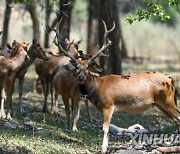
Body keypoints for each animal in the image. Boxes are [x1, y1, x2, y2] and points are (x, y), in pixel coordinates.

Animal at [53, 20, 180, 153]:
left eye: (87, 67)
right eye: (77, 67)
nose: (81, 77)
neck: (97, 88)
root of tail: (171, 80)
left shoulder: (109, 105)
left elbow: (105, 128)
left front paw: (103, 148)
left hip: (167, 100)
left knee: (178, 118)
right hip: (160, 103)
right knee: (175, 120)